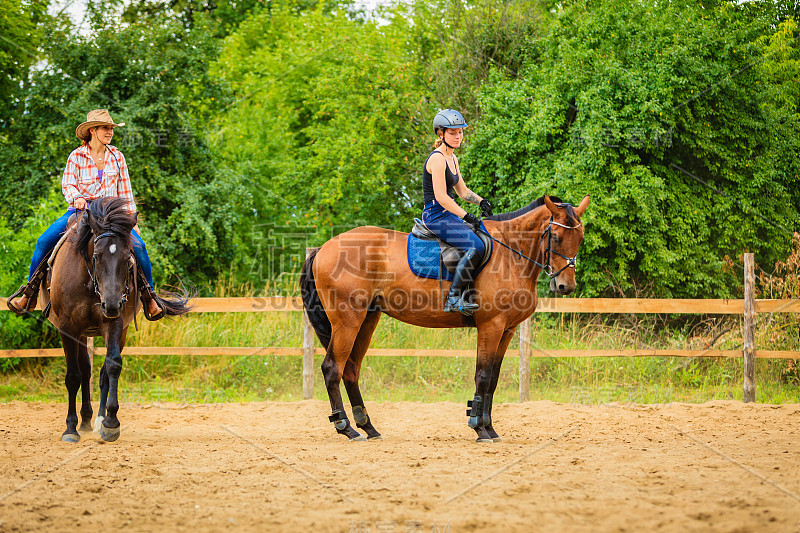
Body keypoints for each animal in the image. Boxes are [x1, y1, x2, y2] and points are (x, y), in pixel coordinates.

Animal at [41, 197, 191, 442]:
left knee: (99, 373)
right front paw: (70, 428)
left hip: (118, 330)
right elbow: (73, 375)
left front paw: (110, 423)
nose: (111, 304)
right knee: (84, 371)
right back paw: (83, 421)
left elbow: (112, 366)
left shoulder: (114, 324)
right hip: (81, 333)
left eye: (128, 259)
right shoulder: (68, 328)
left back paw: (96, 419)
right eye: (96, 256)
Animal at [300, 194, 588, 440]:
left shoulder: (507, 330)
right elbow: (482, 375)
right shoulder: (491, 325)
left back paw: (368, 427)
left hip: (367, 320)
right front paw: (479, 428)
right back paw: (346, 427)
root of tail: (323, 248)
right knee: (332, 368)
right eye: (556, 237)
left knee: (350, 369)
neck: (510, 253)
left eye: (581, 237)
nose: (566, 286)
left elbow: (493, 379)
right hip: (347, 320)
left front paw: (489, 428)